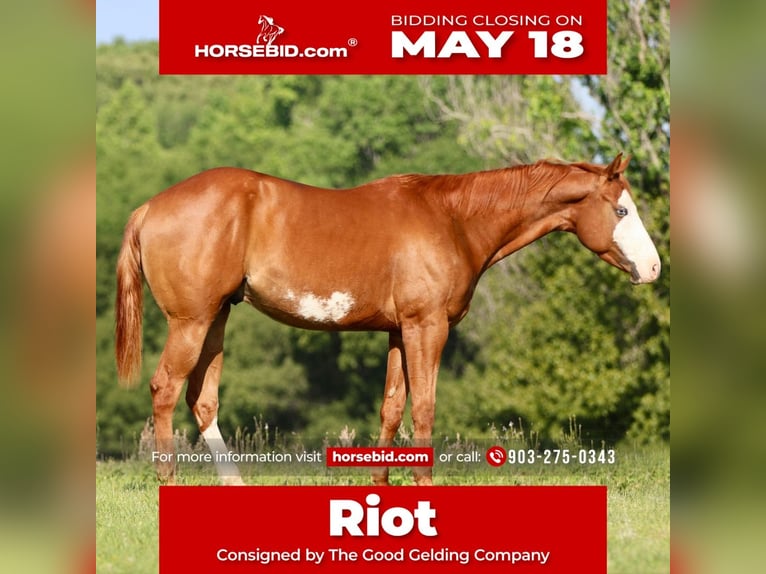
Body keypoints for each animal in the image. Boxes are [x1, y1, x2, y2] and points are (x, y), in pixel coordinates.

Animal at [114, 153, 661, 486]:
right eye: (621, 210)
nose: (653, 268)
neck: (453, 219)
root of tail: (149, 207)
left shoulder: (399, 331)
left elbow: (392, 408)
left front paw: (381, 482)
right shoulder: (427, 327)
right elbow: (424, 408)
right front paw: (424, 482)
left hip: (217, 318)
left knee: (201, 398)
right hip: (192, 321)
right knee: (166, 388)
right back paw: (168, 479)